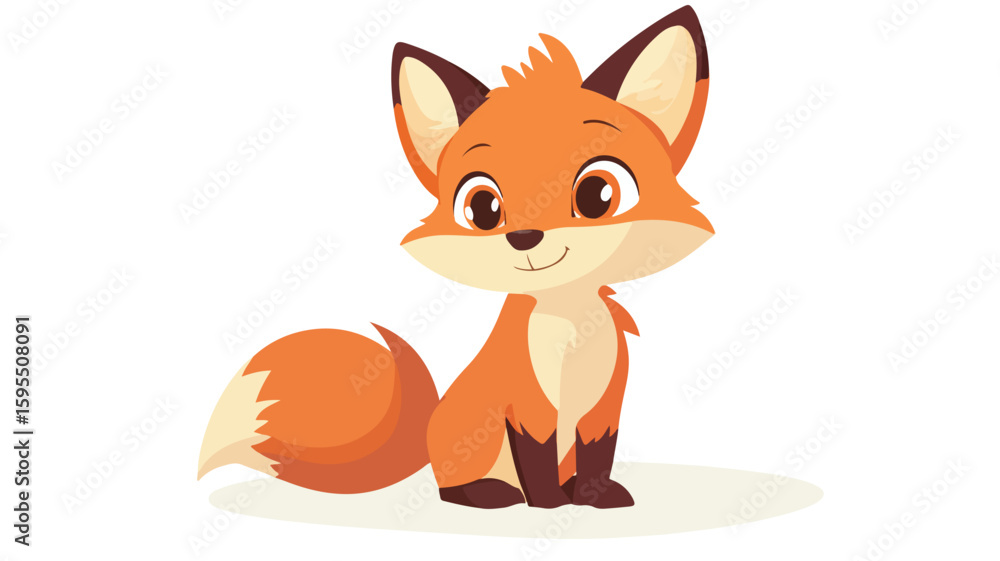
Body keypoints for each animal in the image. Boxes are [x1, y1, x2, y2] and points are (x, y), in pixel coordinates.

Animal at [198, 5, 713, 510]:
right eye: (483, 207)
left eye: (597, 194)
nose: (525, 237)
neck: (568, 331)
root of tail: (427, 442)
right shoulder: (527, 408)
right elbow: (537, 461)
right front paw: (548, 506)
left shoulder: (602, 409)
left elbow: (596, 458)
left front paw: (593, 499)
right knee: (454, 488)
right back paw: (491, 494)